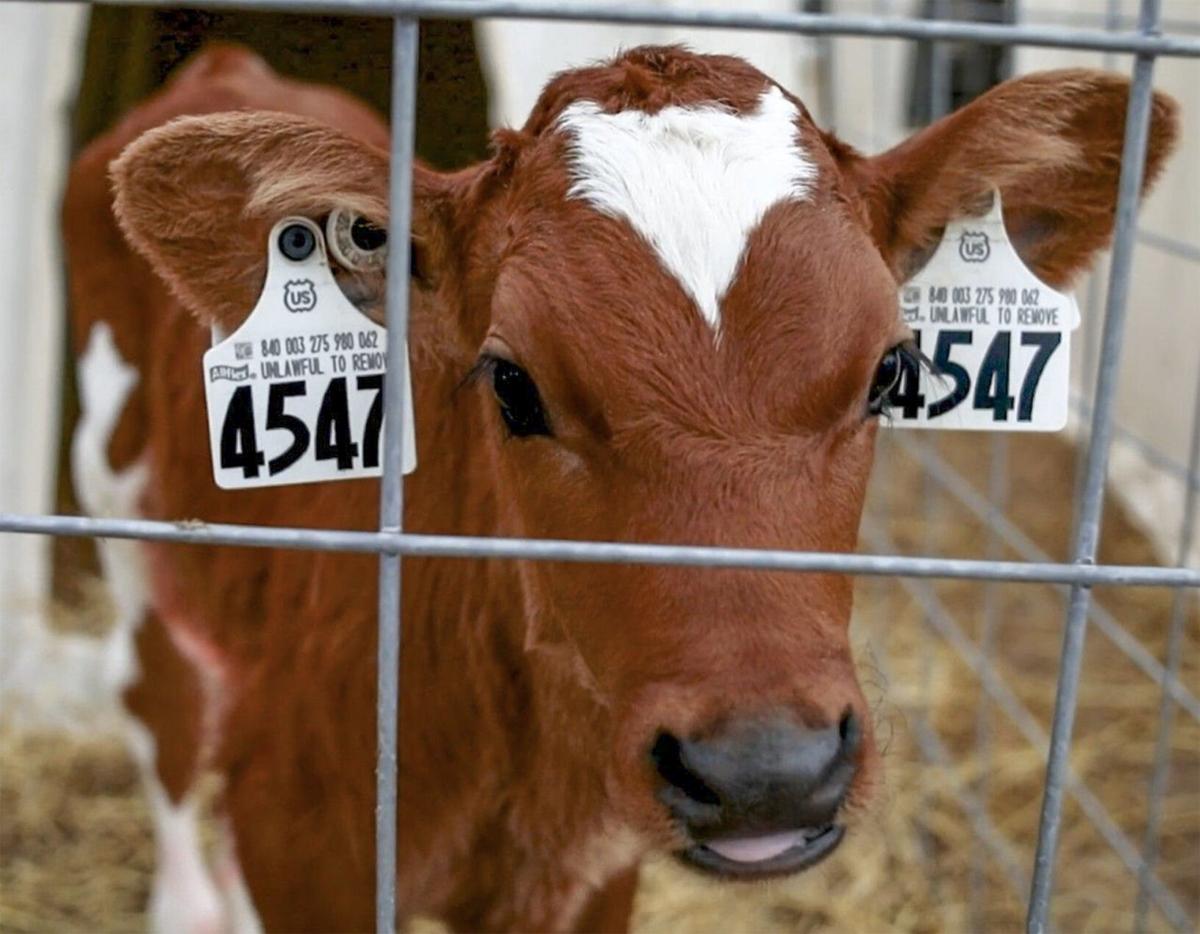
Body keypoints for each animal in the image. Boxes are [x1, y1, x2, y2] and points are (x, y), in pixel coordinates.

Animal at [64, 41, 1177, 933]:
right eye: (513, 384)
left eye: (892, 371)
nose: (765, 769)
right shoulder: (298, 835)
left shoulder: (593, 877)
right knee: (161, 708)